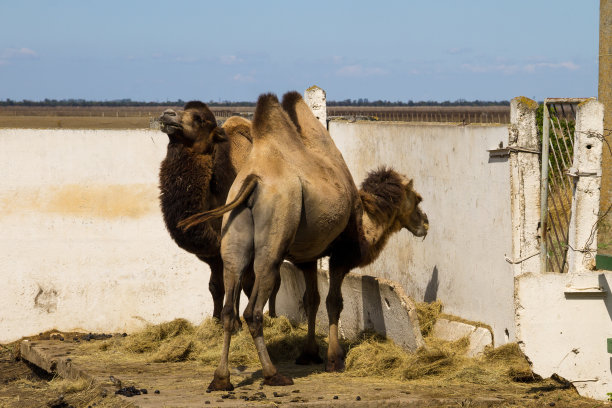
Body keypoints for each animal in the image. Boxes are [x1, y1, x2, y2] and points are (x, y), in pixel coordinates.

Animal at [158, 101, 284, 318]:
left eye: (200, 119)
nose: (168, 114)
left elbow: (246, 284)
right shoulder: (214, 254)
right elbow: (217, 286)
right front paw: (217, 319)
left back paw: (275, 316)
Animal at [179, 92, 428, 388]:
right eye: (418, 198)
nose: (425, 223)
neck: (364, 221)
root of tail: (253, 180)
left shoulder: (307, 258)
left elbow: (311, 300)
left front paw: (309, 354)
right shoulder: (340, 255)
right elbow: (333, 302)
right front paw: (334, 359)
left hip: (233, 235)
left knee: (230, 305)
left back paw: (221, 379)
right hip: (275, 234)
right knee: (253, 309)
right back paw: (273, 374)